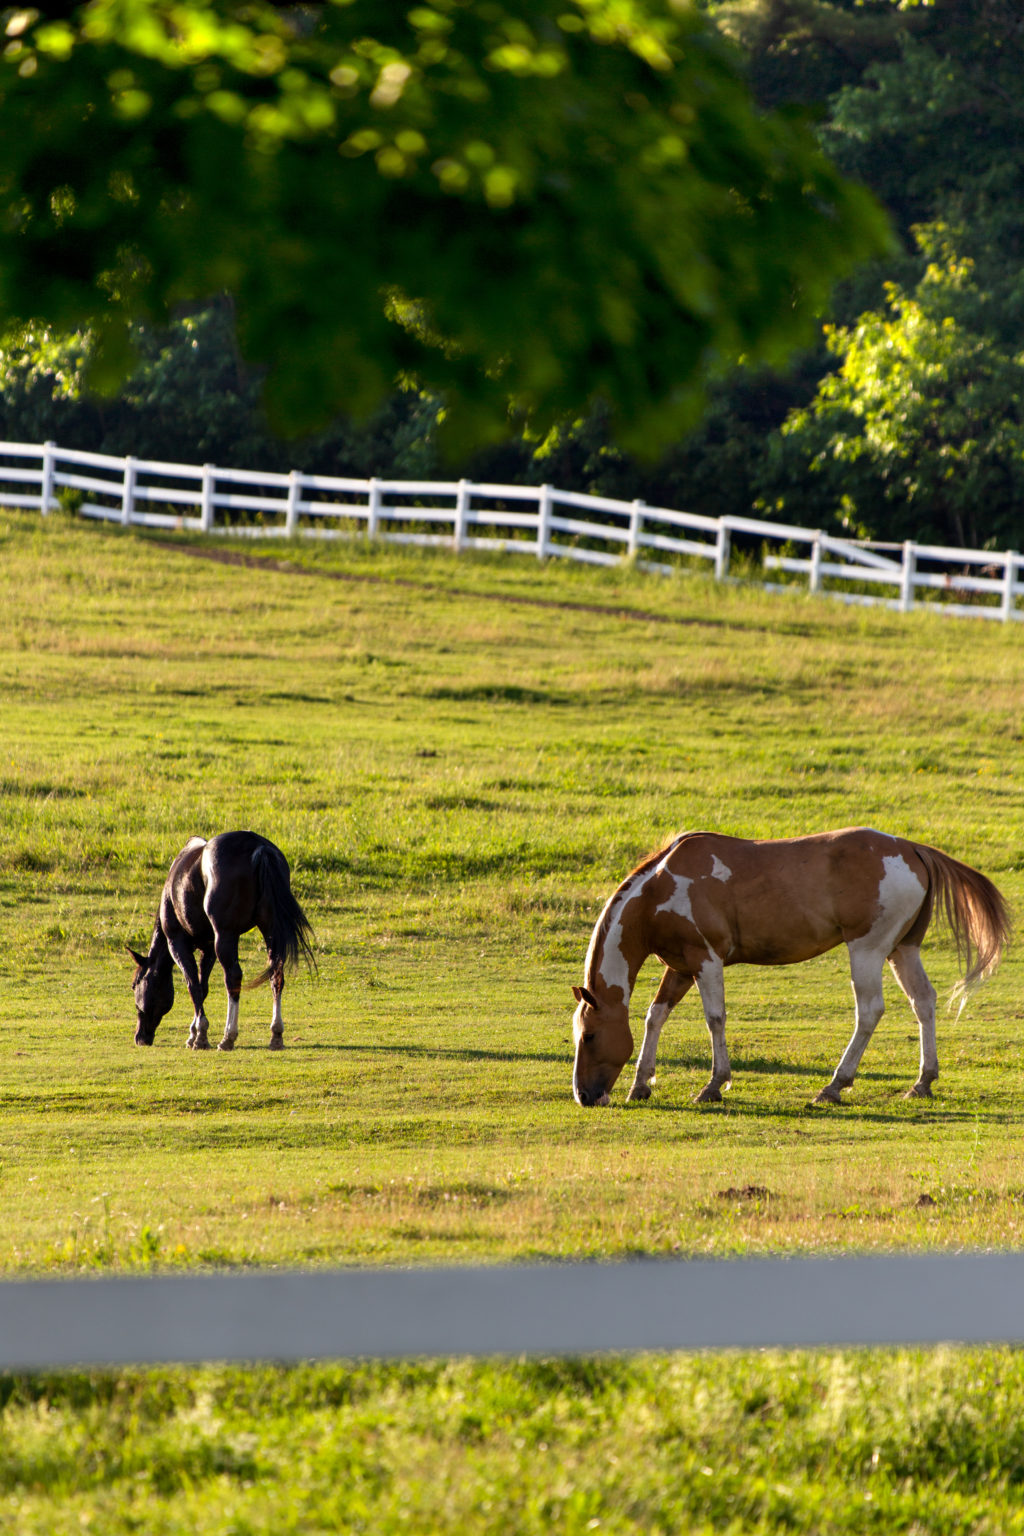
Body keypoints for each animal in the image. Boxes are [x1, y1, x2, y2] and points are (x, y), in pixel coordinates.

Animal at [131, 835, 316, 1050]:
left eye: (135, 985)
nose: (140, 1037)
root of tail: (259, 847)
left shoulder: (177, 943)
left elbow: (193, 985)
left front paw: (199, 1035)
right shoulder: (208, 948)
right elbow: (203, 987)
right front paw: (194, 1033)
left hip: (225, 936)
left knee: (233, 978)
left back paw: (228, 1037)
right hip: (270, 930)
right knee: (276, 975)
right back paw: (275, 1034)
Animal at [574, 829, 1013, 1105]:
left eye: (590, 1036)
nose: (583, 1096)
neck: (659, 889)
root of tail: (911, 848)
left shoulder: (706, 960)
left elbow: (715, 1018)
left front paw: (714, 1084)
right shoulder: (680, 966)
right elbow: (655, 1016)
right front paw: (640, 1084)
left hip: (867, 951)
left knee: (869, 1011)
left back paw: (834, 1085)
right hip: (902, 950)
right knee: (923, 1002)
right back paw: (922, 1081)